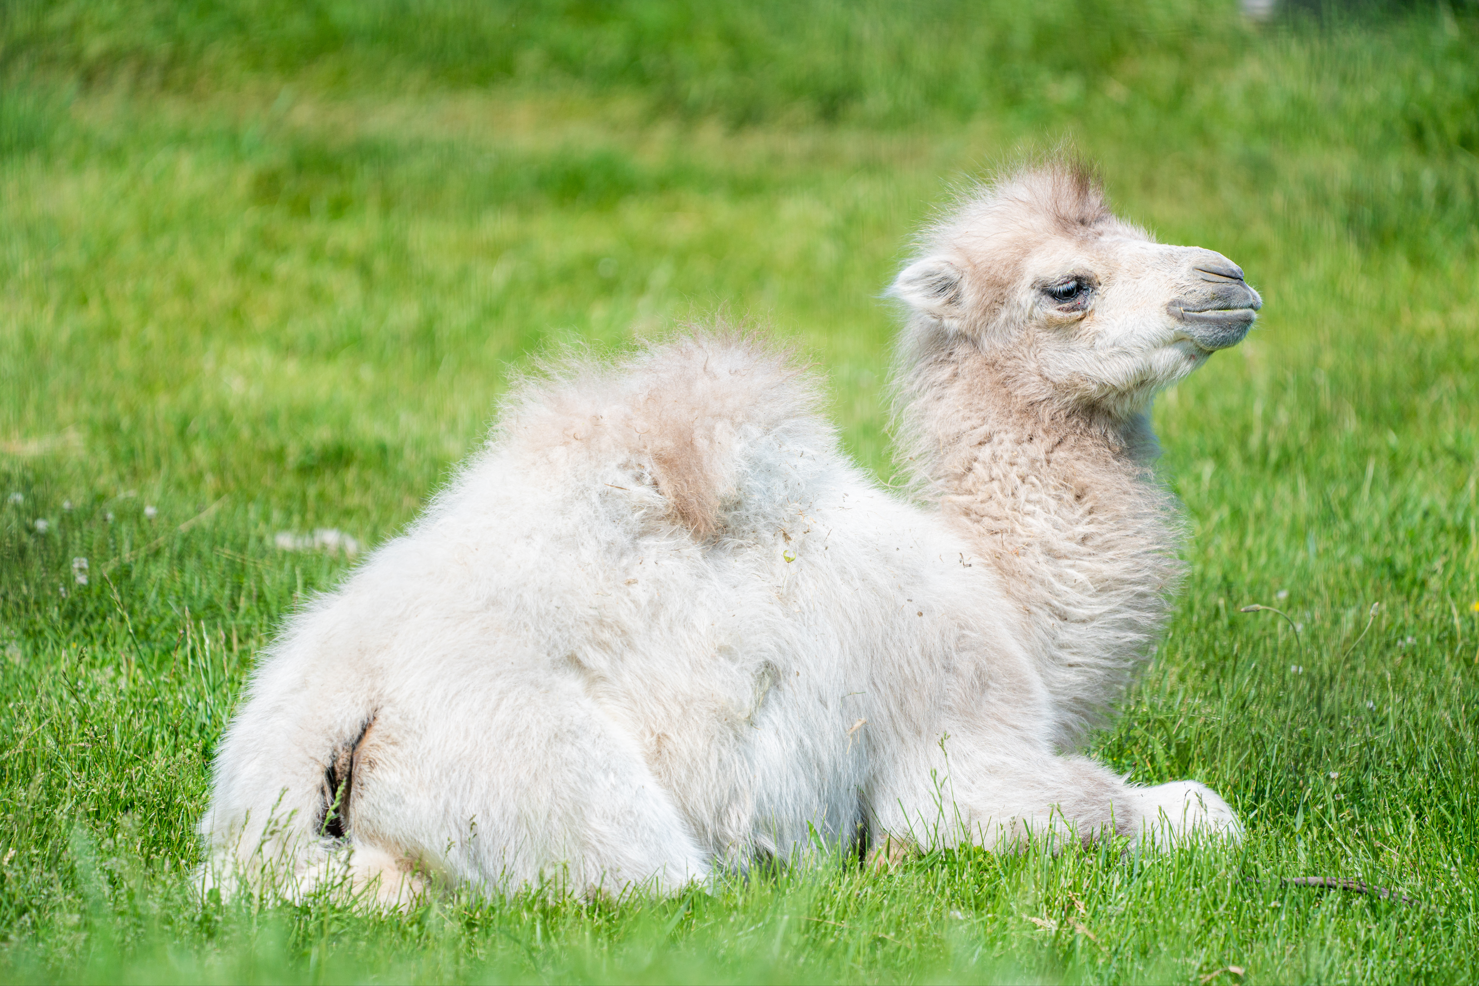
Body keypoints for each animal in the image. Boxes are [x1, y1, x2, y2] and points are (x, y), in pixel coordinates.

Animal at [199, 162, 1261, 905]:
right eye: (1068, 286)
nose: (1228, 282)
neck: (997, 594)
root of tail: (326, 709)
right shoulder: (961, 744)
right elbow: (1184, 811)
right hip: (560, 793)